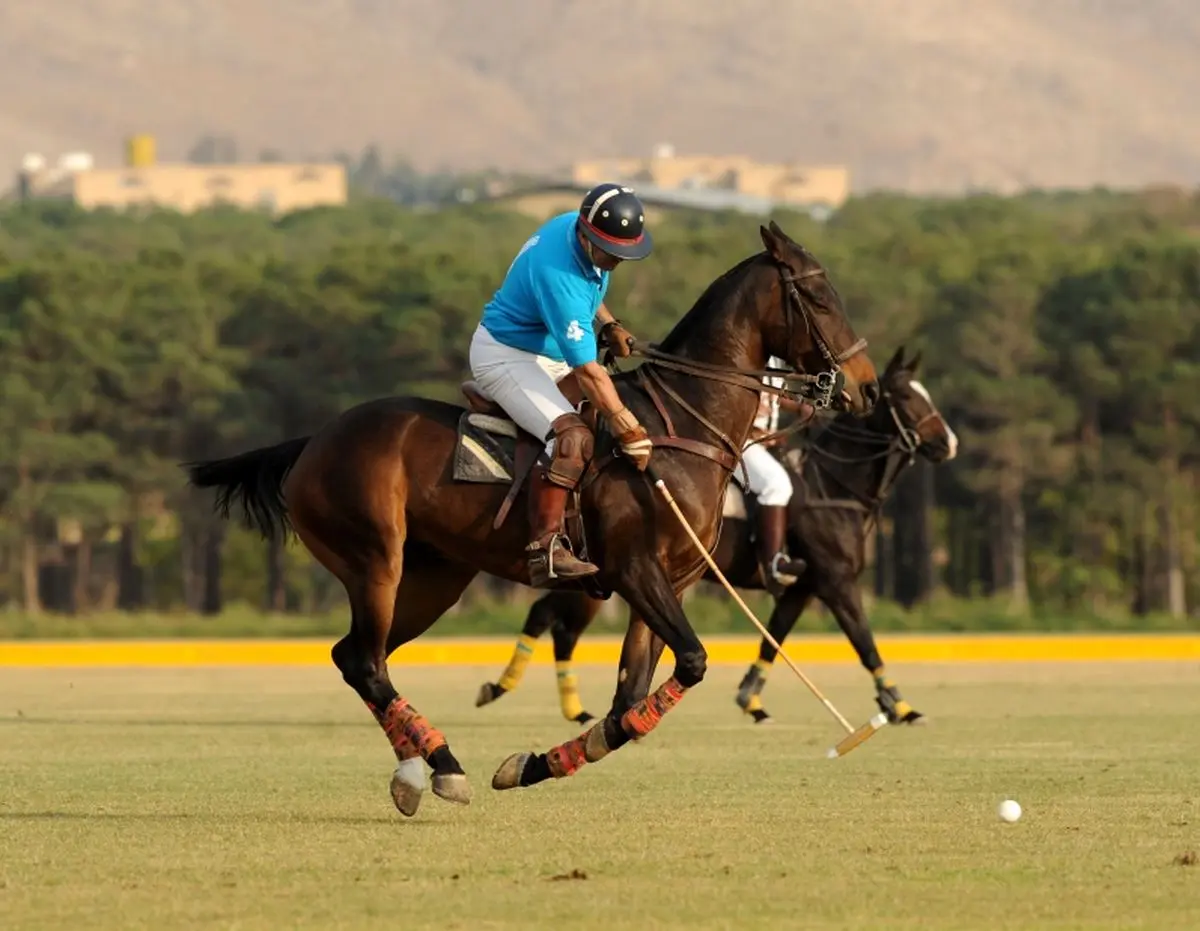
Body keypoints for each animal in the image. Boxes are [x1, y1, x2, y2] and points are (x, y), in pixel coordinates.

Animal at [182, 221, 878, 820]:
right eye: (820, 295)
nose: (865, 389)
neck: (682, 426)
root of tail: (311, 443)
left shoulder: (672, 582)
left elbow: (631, 700)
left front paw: (533, 764)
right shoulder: (635, 569)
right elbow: (693, 661)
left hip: (436, 578)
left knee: (356, 655)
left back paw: (415, 771)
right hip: (374, 559)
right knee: (366, 661)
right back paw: (442, 765)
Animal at [477, 340, 955, 729]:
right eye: (905, 397)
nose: (948, 444)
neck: (835, 488)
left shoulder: (802, 587)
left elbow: (773, 639)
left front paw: (751, 700)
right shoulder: (836, 580)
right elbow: (865, 643)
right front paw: (903, 706)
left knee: (550, 617)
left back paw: (542, 699)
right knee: (555, 623)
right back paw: (523, 693)